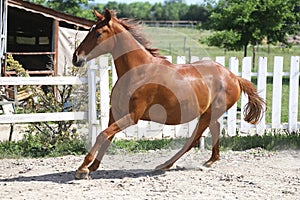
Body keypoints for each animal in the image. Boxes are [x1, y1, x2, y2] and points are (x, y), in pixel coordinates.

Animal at [72, 8, 264, 179]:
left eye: (98, 33)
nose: (76, 58)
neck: (138, 71)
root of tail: (234, 77)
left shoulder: (133, 115)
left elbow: (102, 134)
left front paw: (83, 169)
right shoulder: (116, 112)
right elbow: (107, 136)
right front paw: (93, 166)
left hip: (208, 114)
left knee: (193, 140)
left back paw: (165, 165)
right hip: (208, 114)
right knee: (215, 129)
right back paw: (210, 161)